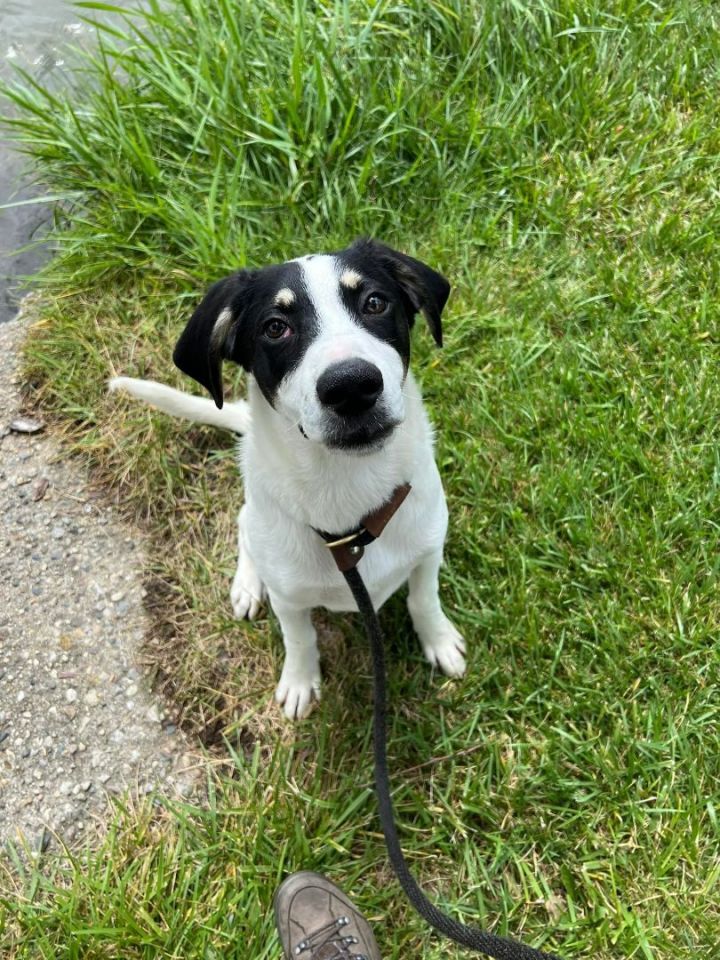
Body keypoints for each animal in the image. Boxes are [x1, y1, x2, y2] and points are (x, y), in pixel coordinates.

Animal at [109, 238, 464, 720]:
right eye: (275, 327)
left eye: (375, 302)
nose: (351, 386)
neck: (348, 500)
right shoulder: (290, 599)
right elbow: (300, 637)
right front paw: (299, 681)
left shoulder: (427, 549)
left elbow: (422, 599)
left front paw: (439, 640)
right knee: (243, 526)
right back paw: (247, 585)